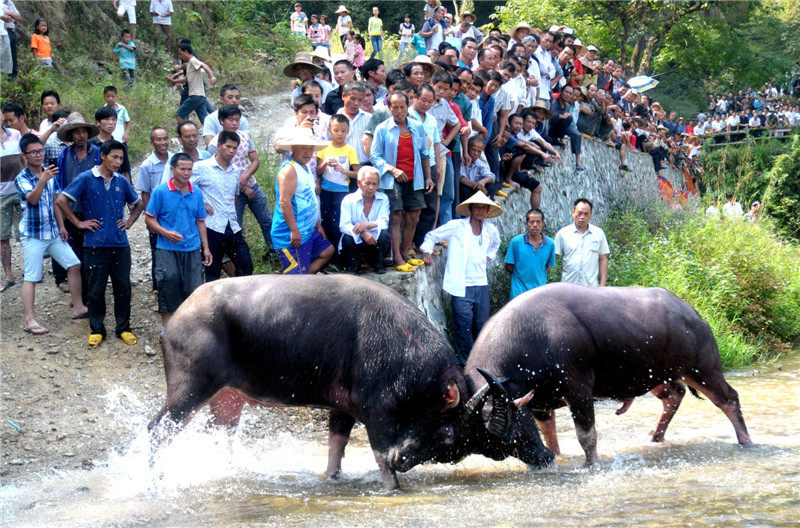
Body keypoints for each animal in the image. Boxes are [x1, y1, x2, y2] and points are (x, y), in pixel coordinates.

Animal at [147, 274, 552, 488]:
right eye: (451, 433)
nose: (405, 458)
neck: (405, 349)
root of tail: (178, 317)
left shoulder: (342, 409)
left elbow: (335, 449)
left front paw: (332, 479)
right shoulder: (376, 411)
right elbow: (379, 454)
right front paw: (393, 485)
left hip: (227, 401)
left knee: (218, 435)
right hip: (190, 390)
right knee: (157, 430)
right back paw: (157, 478)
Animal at [466, 282, 752, 464]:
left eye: (513, 435)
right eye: (497, 448)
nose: (542, 461)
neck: (529, 338)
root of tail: (694, 315)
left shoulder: (578, 390)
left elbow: (587, 436)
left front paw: (591, 464)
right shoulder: (540, 404)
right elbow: (550, 435)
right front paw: (556, 455)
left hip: (703, 368)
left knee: (729, 398)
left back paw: (747, 441)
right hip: (655, 376)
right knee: (675, 394)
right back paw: (655, 436)